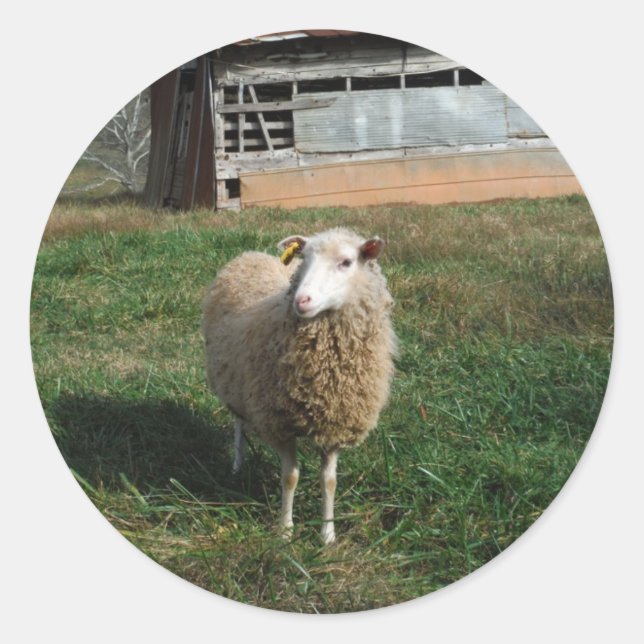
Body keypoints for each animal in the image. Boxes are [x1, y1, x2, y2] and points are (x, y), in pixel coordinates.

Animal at [201, 227, 396, 544]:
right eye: (303, 258)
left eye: (346, 262)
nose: (302, 301)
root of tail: (250, 254)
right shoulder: (279, 424)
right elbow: (290, 477)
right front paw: (285, 530)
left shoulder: (335, 425)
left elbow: (329, 481)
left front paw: (327, 534)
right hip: (236, 387)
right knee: (239, 425)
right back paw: (237, 466)